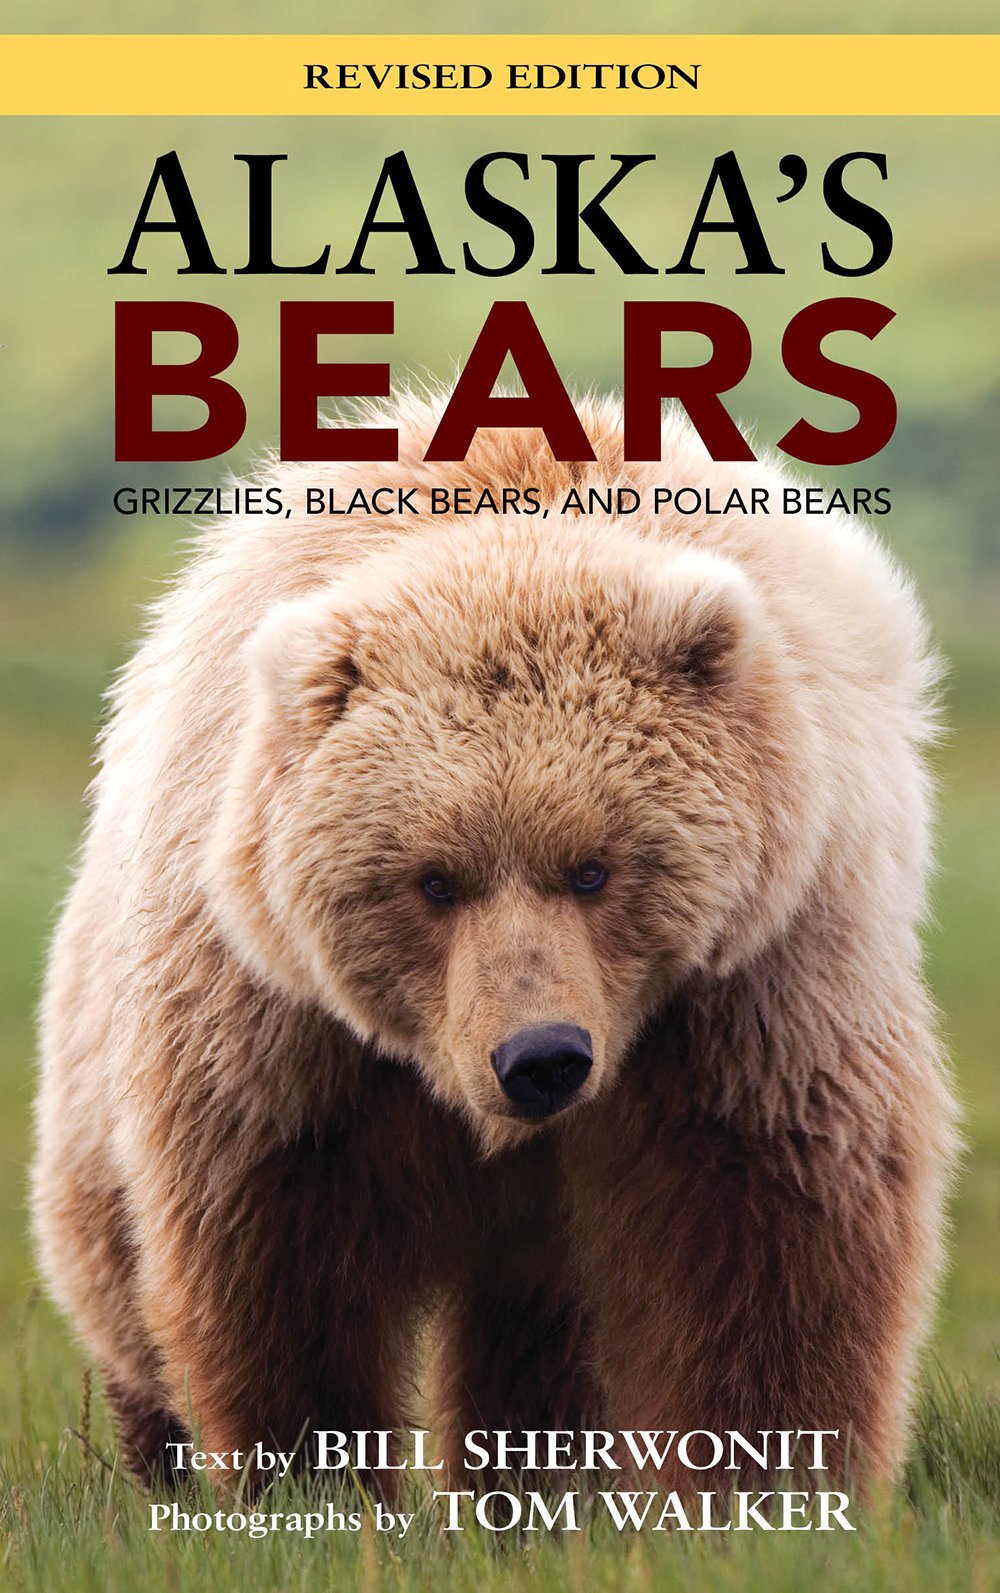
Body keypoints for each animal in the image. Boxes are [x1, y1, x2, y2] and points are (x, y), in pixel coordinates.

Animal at [32, 394, 957, 1499]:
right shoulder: (287, 1024)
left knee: (541, 1335)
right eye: (433, 879)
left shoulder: (756, 977)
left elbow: (767, 1221)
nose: (540, 1057)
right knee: (110, 1271)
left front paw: (762, 1483)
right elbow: (278, 1254)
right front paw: (314, 1483)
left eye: (594, 867)